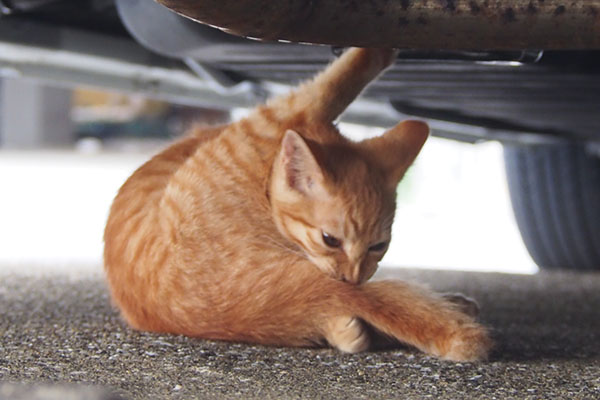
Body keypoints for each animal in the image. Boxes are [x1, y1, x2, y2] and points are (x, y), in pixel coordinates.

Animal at [105, 48, 492, 360]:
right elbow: (338, 80)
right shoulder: (285, 113)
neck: (262, 176)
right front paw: (380, 48)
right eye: (330, 240)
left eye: (379, 246)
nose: (352, 278)